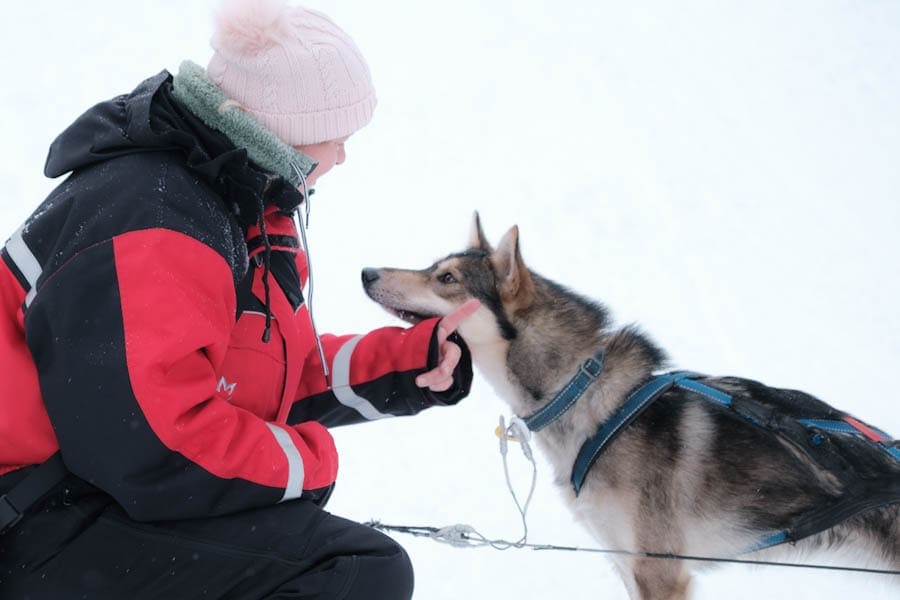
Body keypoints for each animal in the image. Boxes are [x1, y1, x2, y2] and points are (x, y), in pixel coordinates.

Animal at [364, 213, 900, 600]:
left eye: (447, 277)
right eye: (436, 267)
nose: (367, 271)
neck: (581, 392)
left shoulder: (659, 572)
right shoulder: (626, 562)